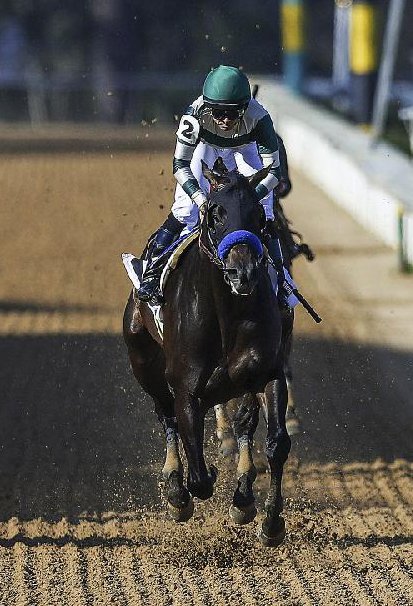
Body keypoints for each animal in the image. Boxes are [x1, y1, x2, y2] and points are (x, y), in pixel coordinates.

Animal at [124, 158, 292, 548]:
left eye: (258, 217)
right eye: (215, 215)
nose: (243, 272)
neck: (226, 314)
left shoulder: (268, 372)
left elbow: (276, 443)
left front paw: (269, 520)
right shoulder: (186, 389)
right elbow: (198, 475)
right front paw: (188, 490)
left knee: (243, 421)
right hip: (144, 364)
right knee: (167, 418)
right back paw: (176, 491)